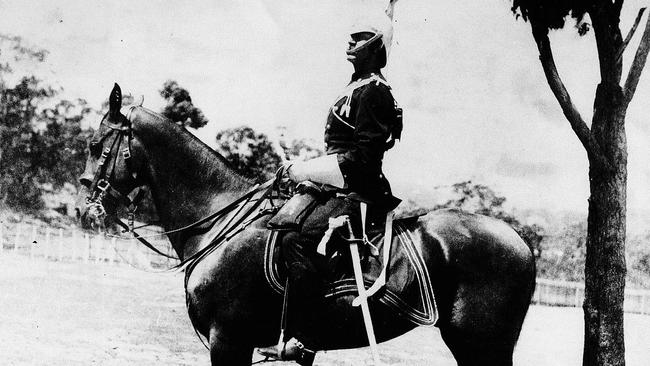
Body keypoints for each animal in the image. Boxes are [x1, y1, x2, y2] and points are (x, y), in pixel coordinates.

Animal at [77, 83, 532, 366]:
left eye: (96, 145)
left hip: (483, 343)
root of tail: (522, 242)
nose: (83, 211)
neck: (220, 223)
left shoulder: (229, 341)